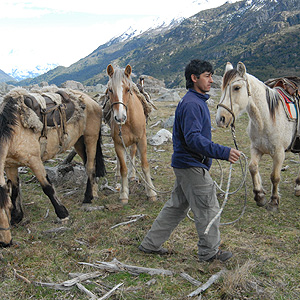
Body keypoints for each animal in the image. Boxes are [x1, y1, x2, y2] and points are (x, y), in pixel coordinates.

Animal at [0, 86, 105, 246]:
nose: (5, 243)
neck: (14, 129)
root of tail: (90, 100)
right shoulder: (10, 165)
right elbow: (15, 190)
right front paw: (17, 217)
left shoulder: (34, 161)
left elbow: (47, 187)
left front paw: (63, 214)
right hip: (79, 142)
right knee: (88, 164)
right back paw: (94, 192)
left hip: (90, 138)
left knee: (90, 167)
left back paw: (88, 197)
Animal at [105, 63, 157, 204]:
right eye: (110, 90)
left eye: (128, 90)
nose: (120, 118)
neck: (128, 122)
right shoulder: (118, 143)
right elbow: (123, 168)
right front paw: (123, 194)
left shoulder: (141, 140)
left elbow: (145, 165)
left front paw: (151, 192)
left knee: (133, 153)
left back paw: (133, 175)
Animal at [216, 61, 300, 211]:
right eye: (222, 88)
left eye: (237, 88)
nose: (220, 119)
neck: (266, 120)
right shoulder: (256, 148)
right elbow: (253, 168)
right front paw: (259, 196)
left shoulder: (279, 153)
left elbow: (275, 177)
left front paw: (273, 201)